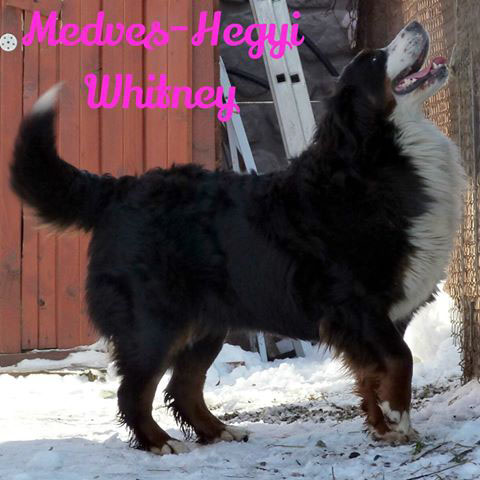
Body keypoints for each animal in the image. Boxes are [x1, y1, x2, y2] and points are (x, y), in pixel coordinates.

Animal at [11, 21, 465, 454]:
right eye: (373, 59)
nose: (415, 25)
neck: (377, 158)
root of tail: (121, 189)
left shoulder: (385, 316)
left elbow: (376, 371)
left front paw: (381, 427)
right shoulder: (356, 304)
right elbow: (400, 359)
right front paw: (396, 415)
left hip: (206, 324)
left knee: (183, 387)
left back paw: (218, 431)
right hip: (152, 324)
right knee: (133, 392)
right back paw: (160, 443)